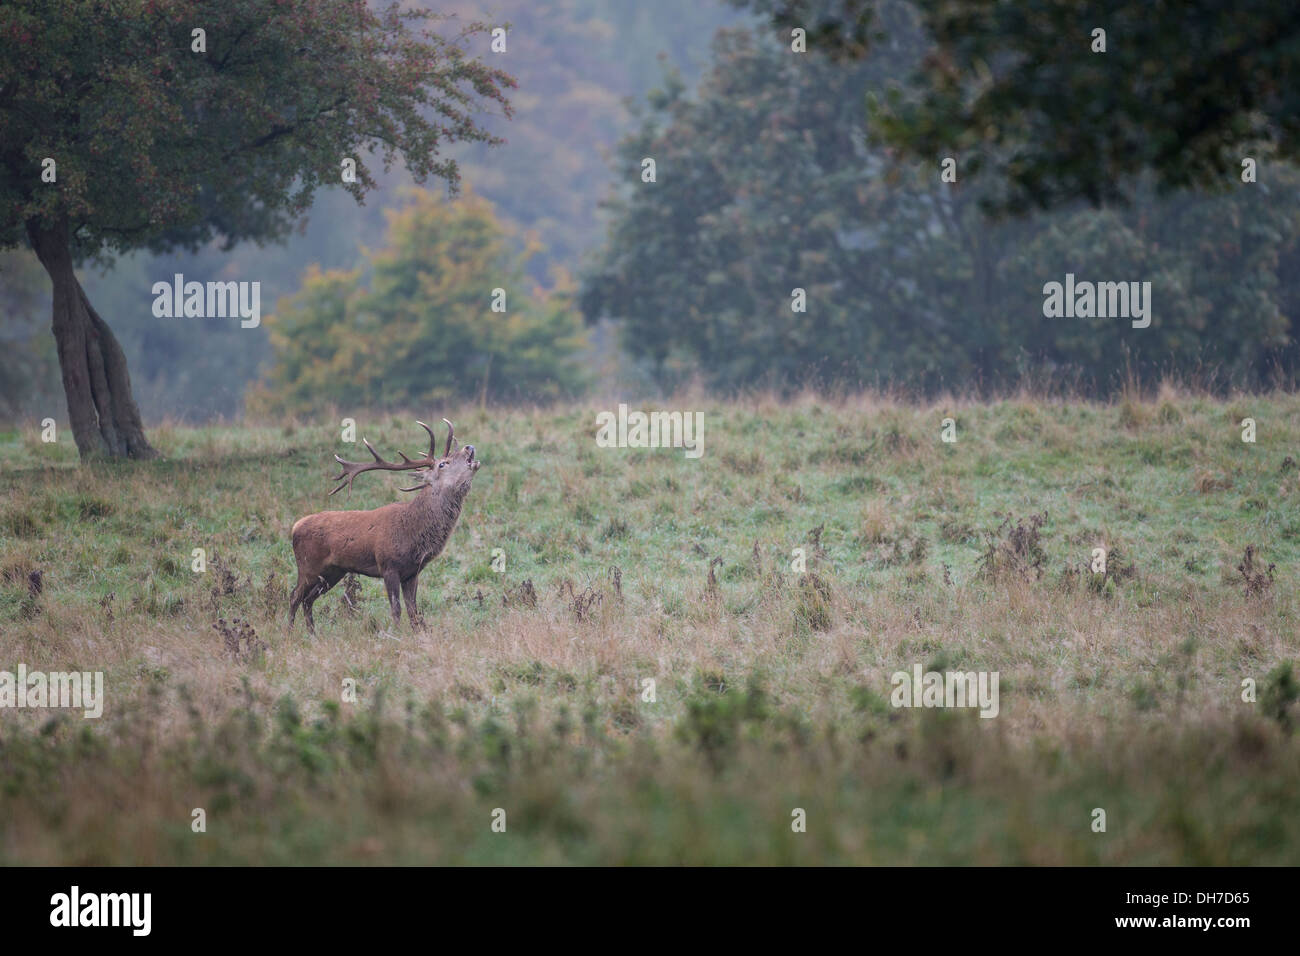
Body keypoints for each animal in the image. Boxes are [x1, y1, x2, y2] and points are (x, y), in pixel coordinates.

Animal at [288, 418, 480, 633]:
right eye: (442, 463)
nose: (469, 447)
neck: (412, 532)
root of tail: (295, 527)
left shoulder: (412, 572)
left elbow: (413, 611)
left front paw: (417, 634)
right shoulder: (388, 565)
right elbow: (396, 609)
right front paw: (397, 635)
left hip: (334, 571)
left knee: (308, 599)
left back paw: (313, 634)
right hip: (307, 565)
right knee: (294, 596)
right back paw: (289, 633)